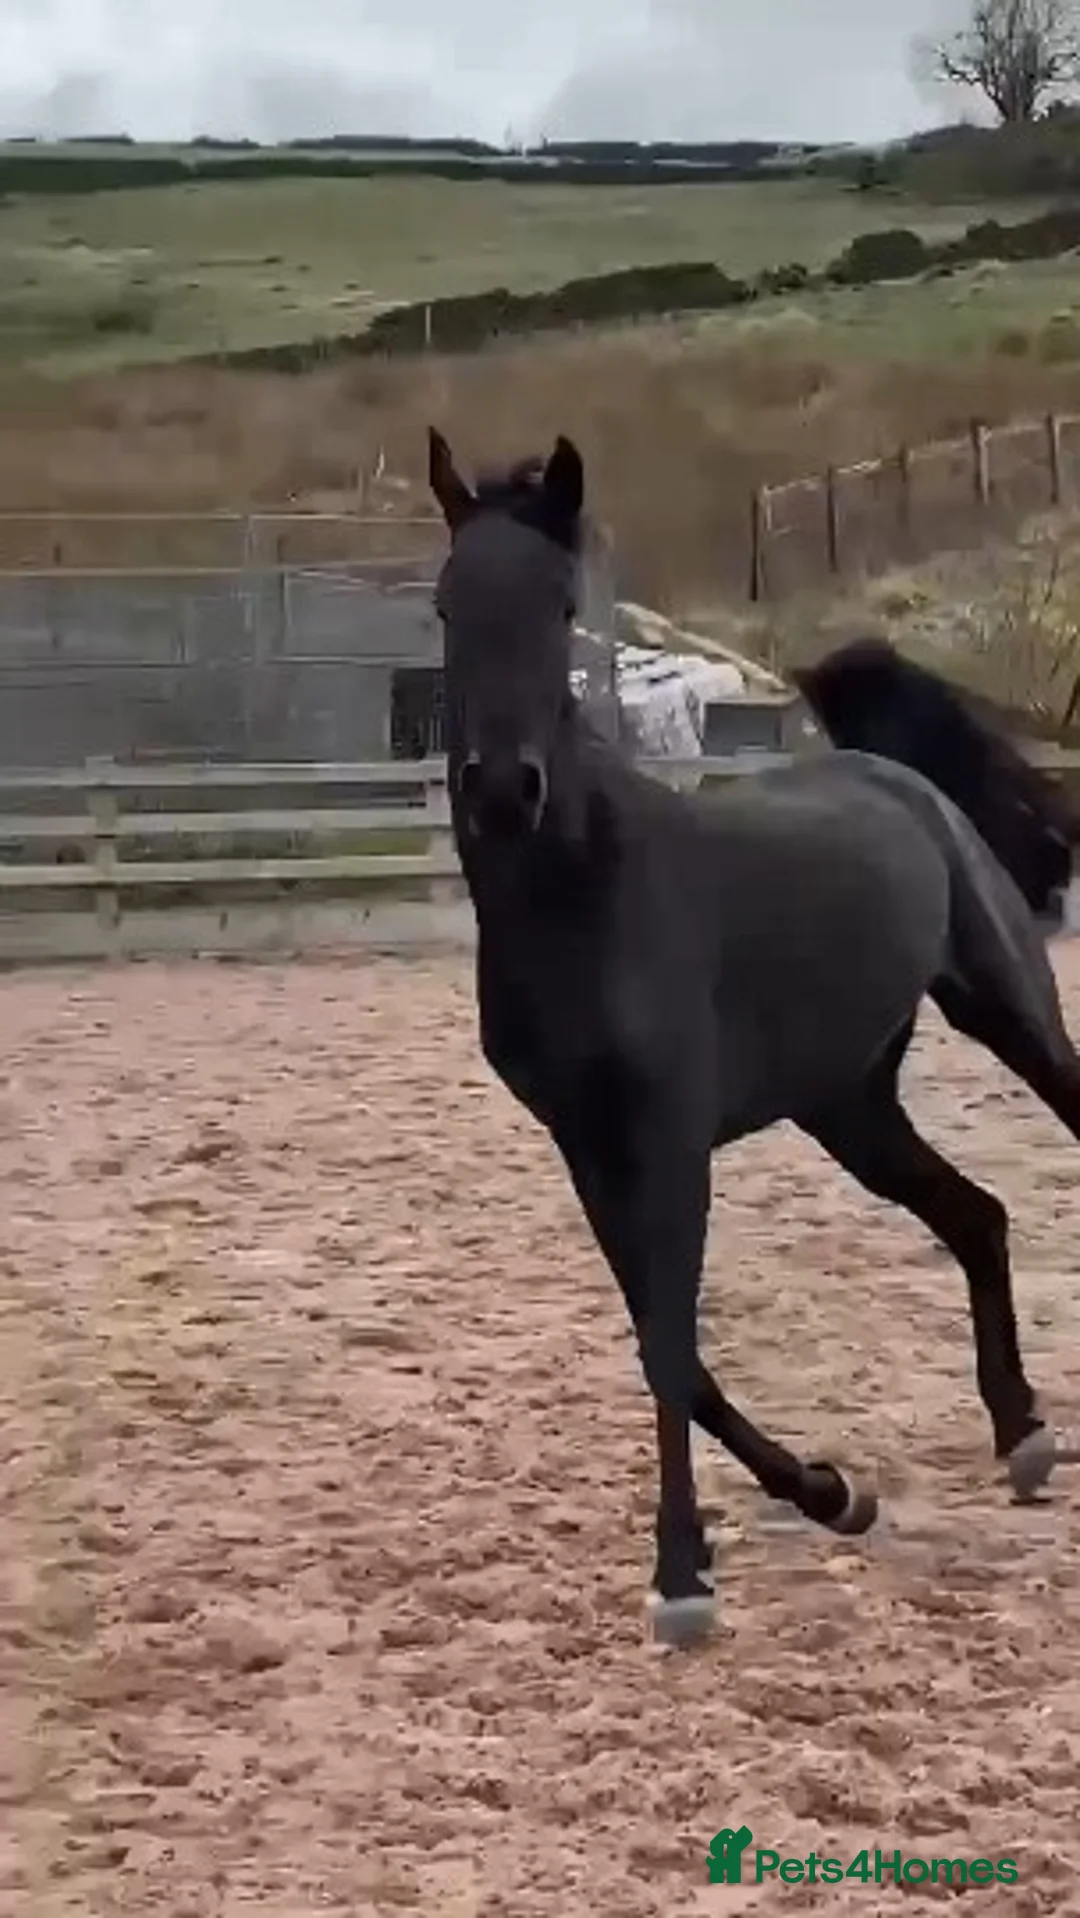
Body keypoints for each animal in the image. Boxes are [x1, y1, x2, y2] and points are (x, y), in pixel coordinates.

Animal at [428, 425, 1080, 1647]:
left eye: (558, 604)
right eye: (447, 603)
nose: (501, 790)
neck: (590, 899)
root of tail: (905, 781)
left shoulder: (670, 1136)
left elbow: (669, 1343)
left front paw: (682, 1572)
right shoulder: (588, 1149)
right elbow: (666, 1348)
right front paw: (832, 1496)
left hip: (1007, 1012)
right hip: (849, 1106)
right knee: (977, 1216)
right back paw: (1022, 1435)